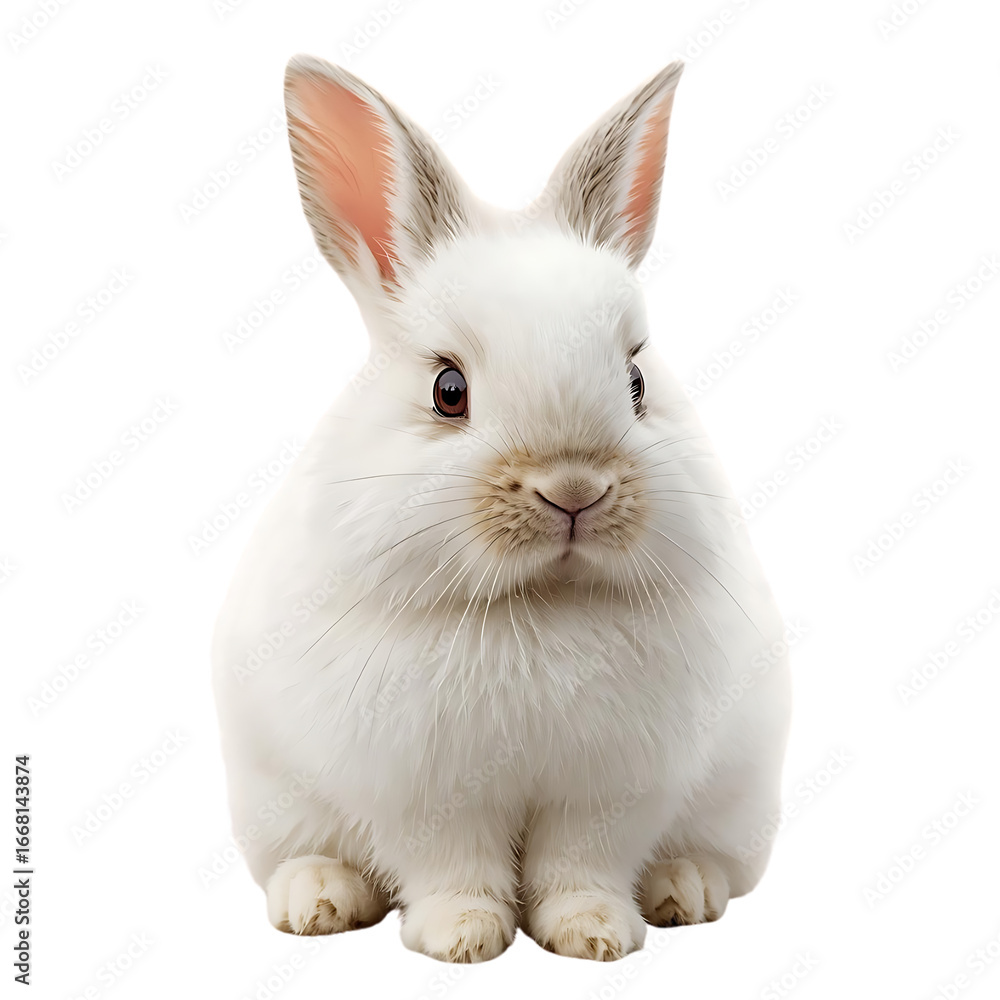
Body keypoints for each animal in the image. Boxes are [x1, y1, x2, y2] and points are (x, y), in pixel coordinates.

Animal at [211, 53, 792, 963]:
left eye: (636, 379)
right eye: (449, 391)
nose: (575, 489)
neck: (539, 602)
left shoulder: (611, 790)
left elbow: (581, 865)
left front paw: (594, 936)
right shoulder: (422, 793)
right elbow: (453, 867)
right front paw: (464, 939)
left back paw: (683, 889)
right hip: (272, 802)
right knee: (306, 856)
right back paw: (318, 900)